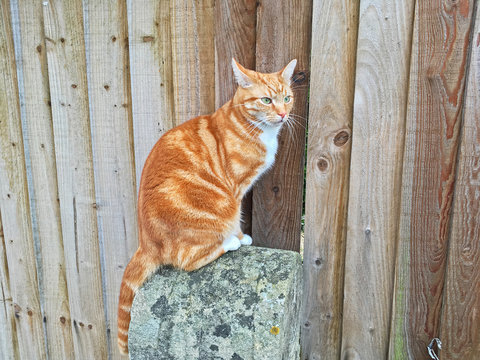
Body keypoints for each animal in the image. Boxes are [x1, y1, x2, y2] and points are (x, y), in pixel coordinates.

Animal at [116, 59, 296, 354]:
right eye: (266, 100)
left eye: (287, 98)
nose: (282, 114)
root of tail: (146, 242)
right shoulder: (234, 190)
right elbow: (237, 218)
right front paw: (239, 237)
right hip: (211, 213)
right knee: (186, 260)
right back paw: (228, 243)